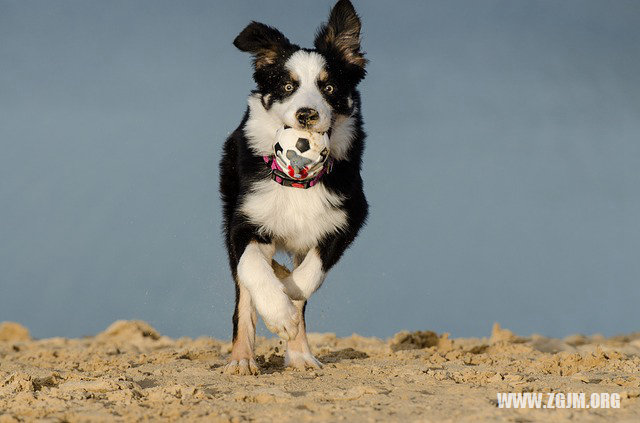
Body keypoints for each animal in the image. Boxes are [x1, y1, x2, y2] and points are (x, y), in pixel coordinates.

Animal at [222, 0, 368, 378]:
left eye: (329, 88)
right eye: (288, 87)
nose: (306, 114)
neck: (298, 183)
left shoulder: (347, 218)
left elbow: (310, 275)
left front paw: (288, 295)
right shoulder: (245, 220)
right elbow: (251, 268)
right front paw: (279, 312)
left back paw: (301, 355)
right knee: (244, 291)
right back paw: (242, 359)